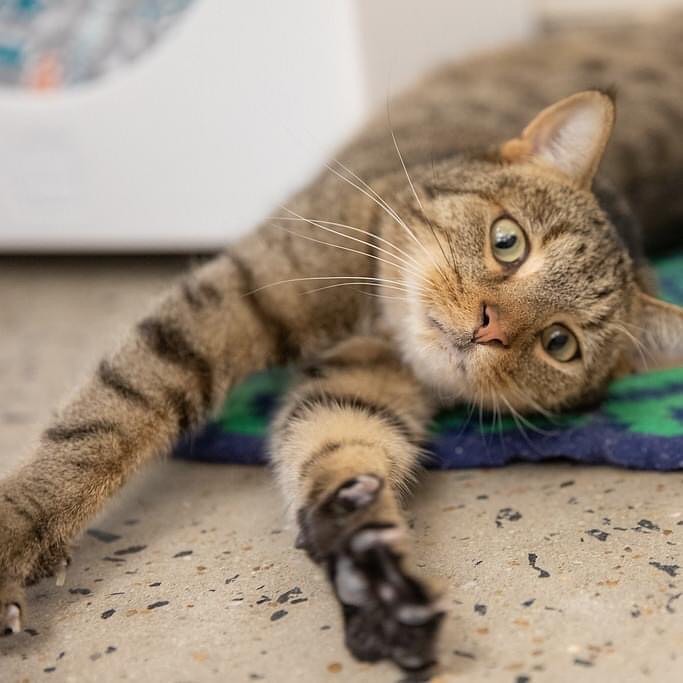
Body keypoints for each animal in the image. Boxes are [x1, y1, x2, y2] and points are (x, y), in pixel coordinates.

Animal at [1, 14, 683, 672]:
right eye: (507, 241)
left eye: (559, 344)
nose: (489, 325)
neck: (378, 324)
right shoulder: (231, 301)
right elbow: (108, 421)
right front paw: (17, 536)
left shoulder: (361, 389)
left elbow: (340, 447)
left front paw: (370, 571)